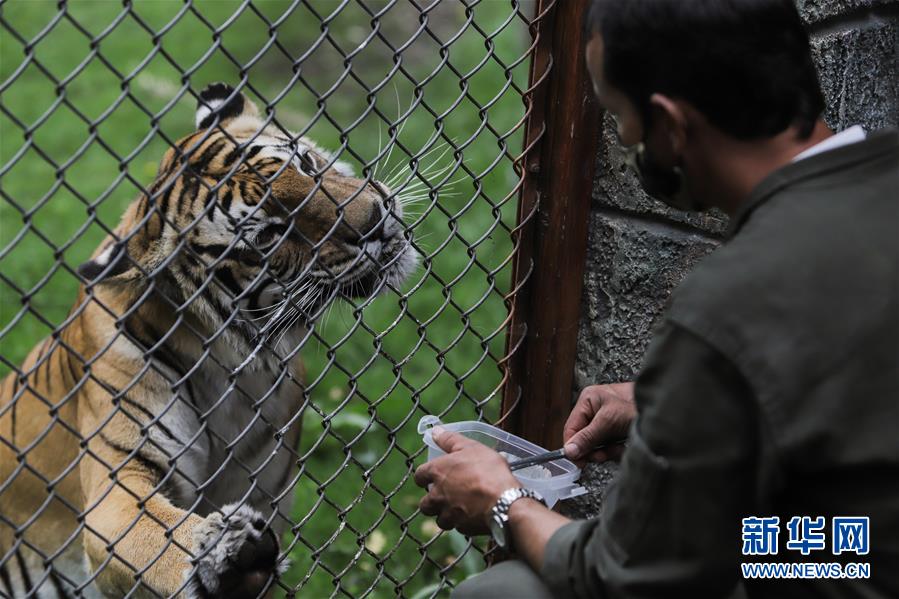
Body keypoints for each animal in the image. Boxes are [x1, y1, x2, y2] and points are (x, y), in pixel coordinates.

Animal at [0, 82, 414, 596]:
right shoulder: (120, 475)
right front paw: (222, 551)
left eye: (305, 163)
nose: (376, 218)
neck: (236, 370)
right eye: (270, 234)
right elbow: (149, 531)